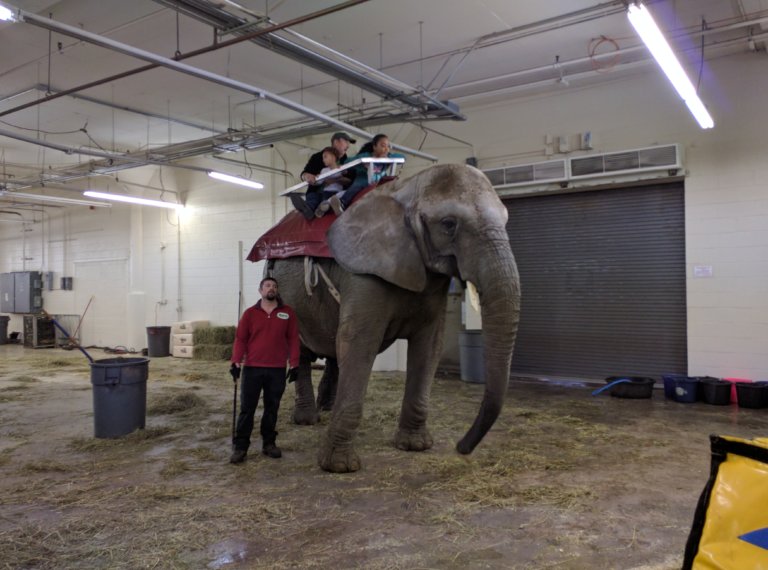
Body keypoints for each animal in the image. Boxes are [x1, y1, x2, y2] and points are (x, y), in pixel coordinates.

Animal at [268, 163, 520, 470]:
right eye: (449, 224)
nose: (462, 448)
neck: (408, 188)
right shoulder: (364, 271)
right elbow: (359, 342)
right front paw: (339, 466)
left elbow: (429, 346)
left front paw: (415, 446)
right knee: (303, 350)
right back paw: (307, 419)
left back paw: (327, 407)